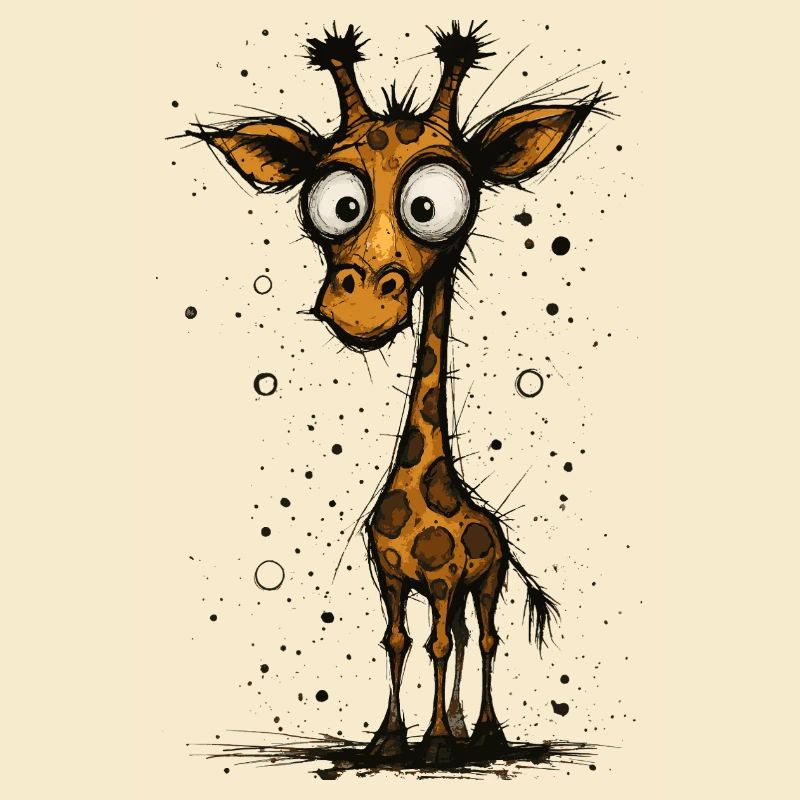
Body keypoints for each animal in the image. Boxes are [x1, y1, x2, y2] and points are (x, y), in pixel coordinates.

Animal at [188, 22, 596, 766]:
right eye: (339, 205)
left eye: (430, 206)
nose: (359, 307)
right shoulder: (391, 577)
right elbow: (400, 640)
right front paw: (387, 739)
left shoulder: (442, 579)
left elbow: (435, 642)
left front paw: (433, 744)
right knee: (458, 637)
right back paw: (463, 728)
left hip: (487, 579)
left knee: (480, 636)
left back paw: (482, 733)